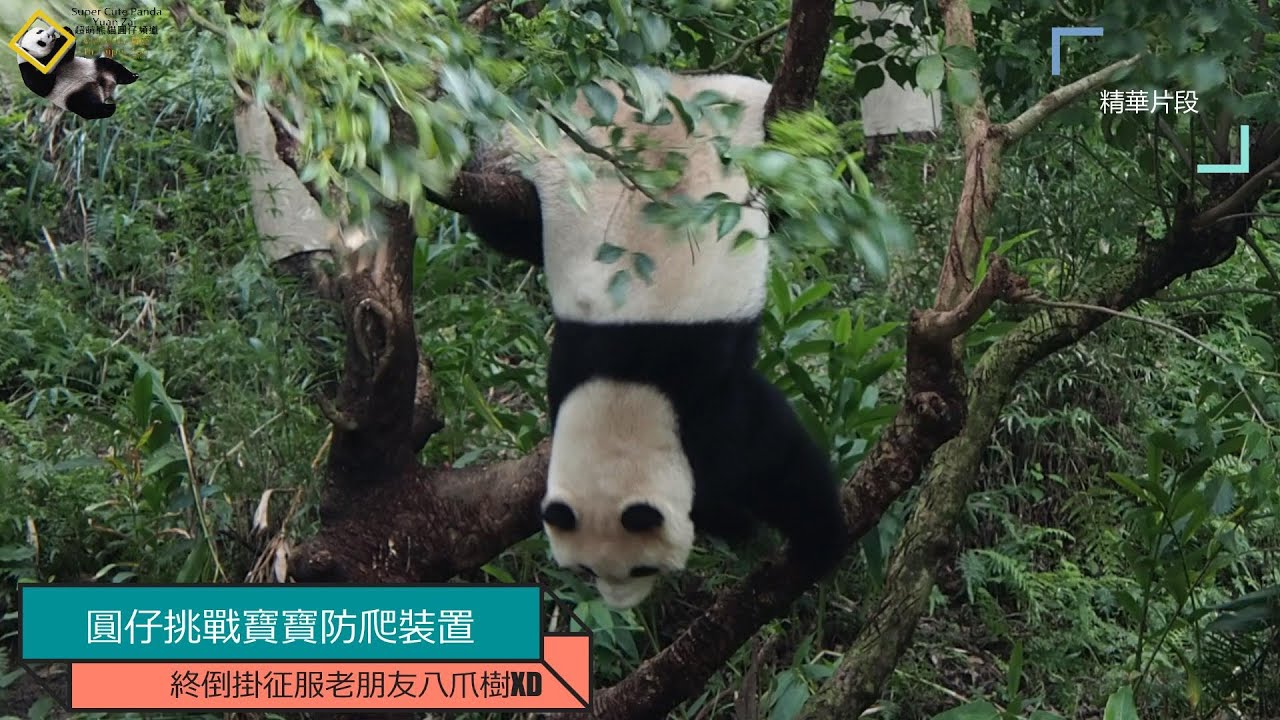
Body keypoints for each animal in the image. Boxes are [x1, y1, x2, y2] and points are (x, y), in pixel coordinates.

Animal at [468, 69, 848, 609]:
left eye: (641, 568)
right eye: (586, 570)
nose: (619, 605)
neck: (626, 384)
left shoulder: (705, 390)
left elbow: (777, 458)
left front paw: (810, 538)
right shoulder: (576, 357)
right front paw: (732, 522)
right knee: (505, 219)